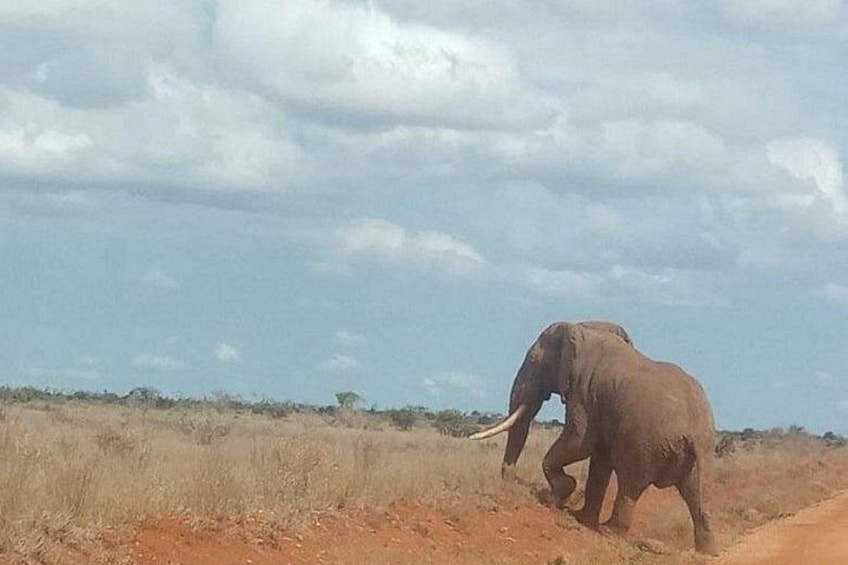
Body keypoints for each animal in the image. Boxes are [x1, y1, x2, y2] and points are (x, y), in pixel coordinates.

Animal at [471, 321, 718, 555]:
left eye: (534, 361)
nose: (510, 479)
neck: (583, 329)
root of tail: (695, 432)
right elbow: (599, 458)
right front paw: (581, 517)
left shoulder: (583, 391)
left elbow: (580, 441)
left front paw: (561, 494)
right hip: (699, 453)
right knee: (695, 493)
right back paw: (708, 551)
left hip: (644, 443)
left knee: (629, 485)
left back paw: (609, 530)